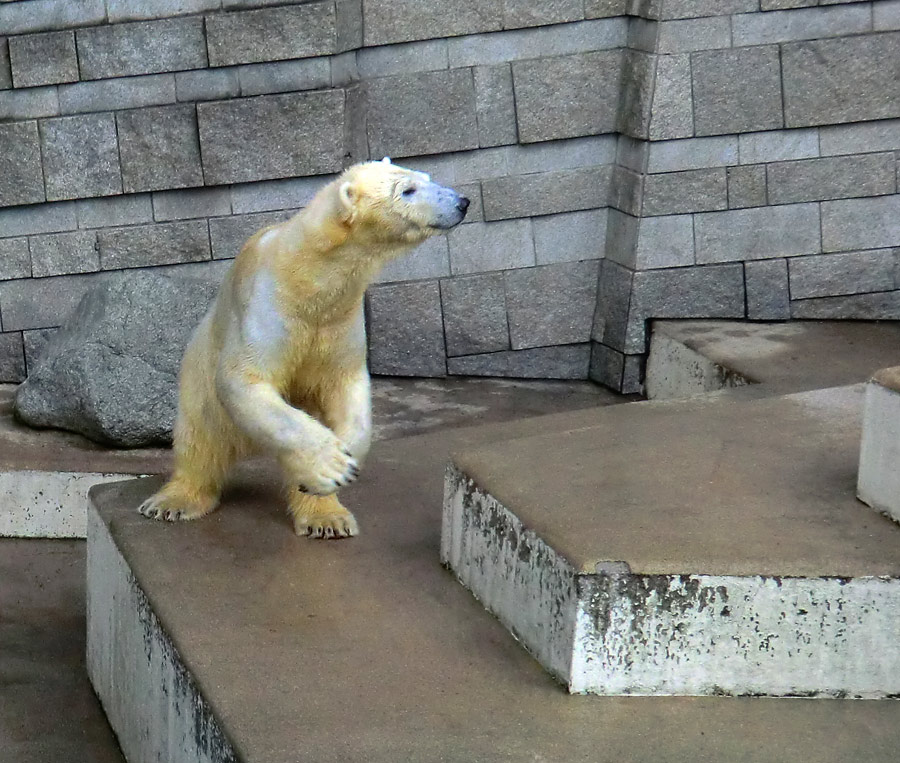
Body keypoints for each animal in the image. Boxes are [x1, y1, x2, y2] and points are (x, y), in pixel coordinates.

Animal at [139, 160, 472, 536]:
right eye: (407, 190)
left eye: (426, 178)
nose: (462, 202)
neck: (311, 277)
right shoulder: (270, 305)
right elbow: (245, 379)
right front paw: (333, 465)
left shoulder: (340, 319)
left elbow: (347, 384)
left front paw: (342, 461)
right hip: (199, 369)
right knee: (200, 436)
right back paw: (175, 501)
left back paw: (326, 517)